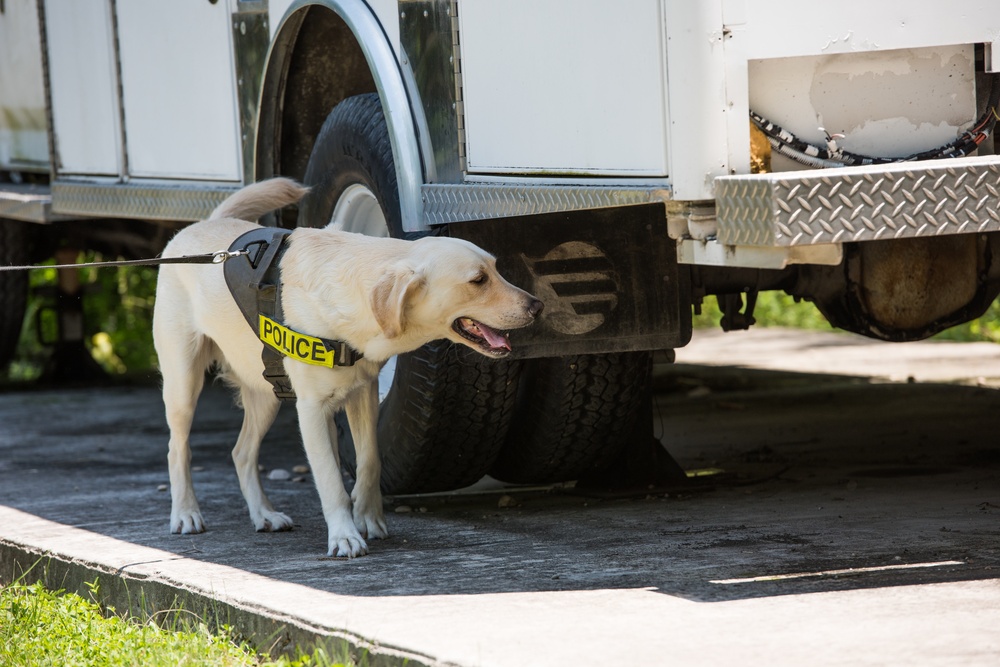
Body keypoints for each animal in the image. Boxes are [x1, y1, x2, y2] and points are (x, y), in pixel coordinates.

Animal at [155, 179, 544, 560]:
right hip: (183, 384)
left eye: (496, 269)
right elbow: (329, 479)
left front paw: (369, 519)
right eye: (478, 280)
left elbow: (369, 461)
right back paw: (186, 513)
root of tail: (203, 224)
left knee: (241, 453)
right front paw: (344, 536)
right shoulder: (311, 410)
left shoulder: (364, 393)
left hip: (268, 394)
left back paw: (263, 513)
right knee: (177, 448)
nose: (537, 306)